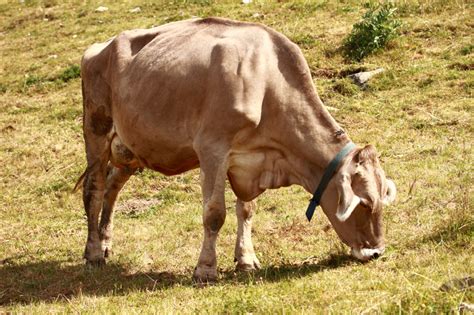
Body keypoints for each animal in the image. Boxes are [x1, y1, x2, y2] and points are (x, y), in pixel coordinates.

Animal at [78, 17, 396, 282]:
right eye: (365, 203)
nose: (376, 252)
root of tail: (100, 46)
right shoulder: (212, 149)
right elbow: (214, 214)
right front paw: (205, 269)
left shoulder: (248, 161)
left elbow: (247, 209)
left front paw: (246, 259)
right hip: (96, 130)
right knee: (95, 188)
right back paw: (93, 252)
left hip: (130, 149)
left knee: (112, 186)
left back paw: (105, 244)